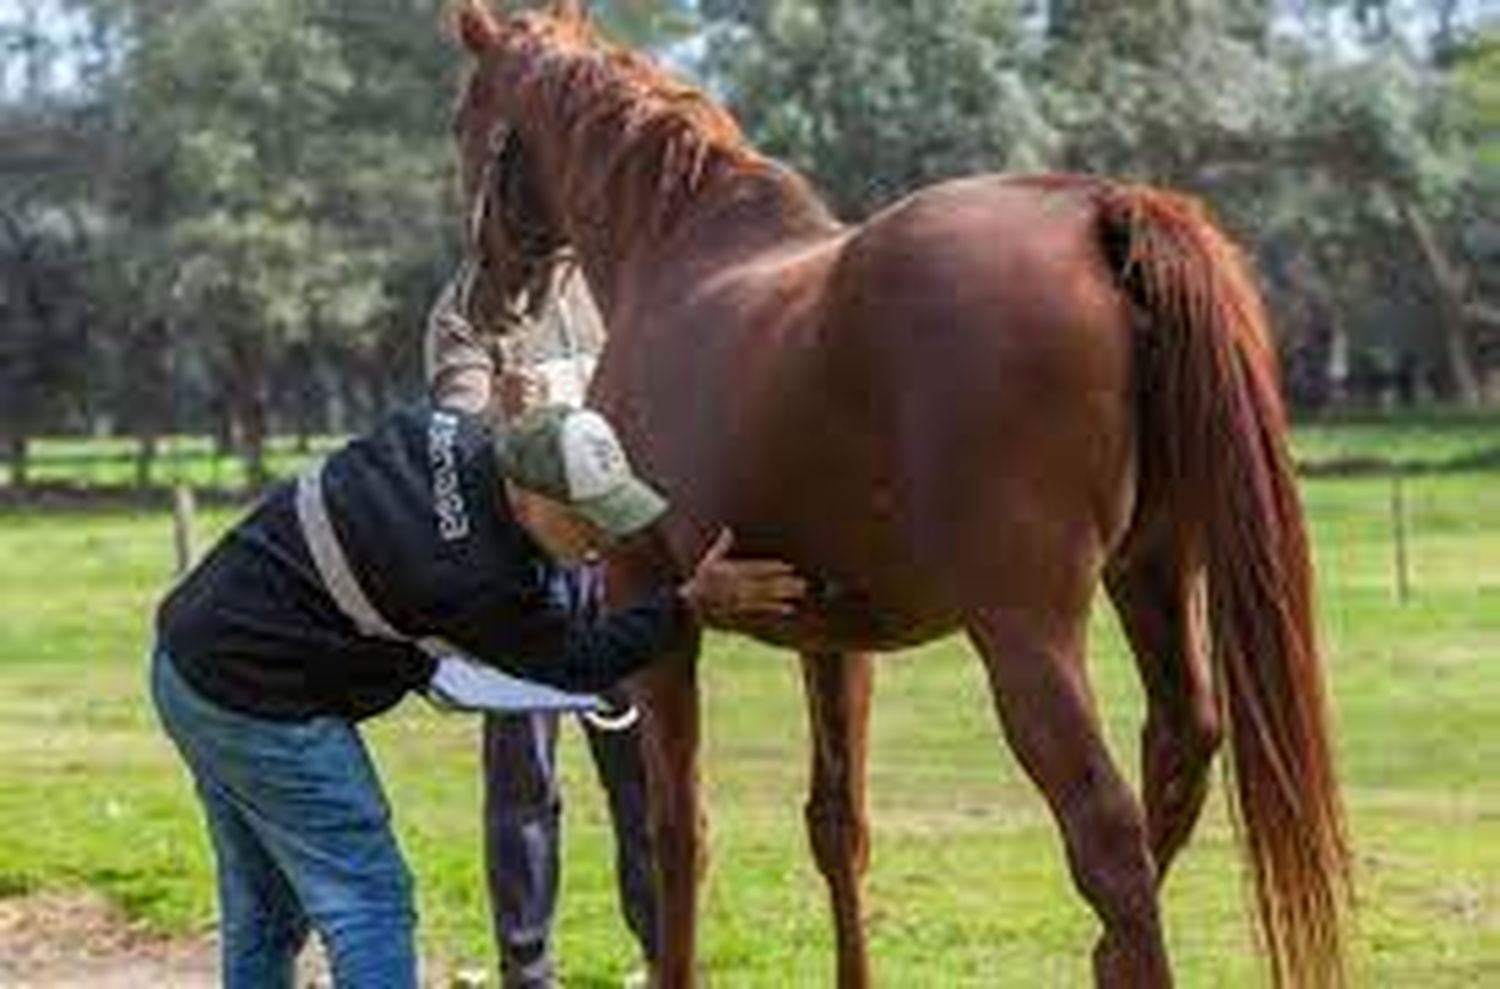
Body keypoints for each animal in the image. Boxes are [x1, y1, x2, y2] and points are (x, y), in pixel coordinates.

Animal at [450, 3, 1356, 984]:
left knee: (1107, 835)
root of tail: (1099, 212)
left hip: (1025, 631)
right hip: (1151, 573)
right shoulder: (834, 637)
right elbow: (837, 827)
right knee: (1177, 755)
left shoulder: (649, 598)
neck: (678, 254)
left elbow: (677, 830)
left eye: (464, 121)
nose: (486, 298)